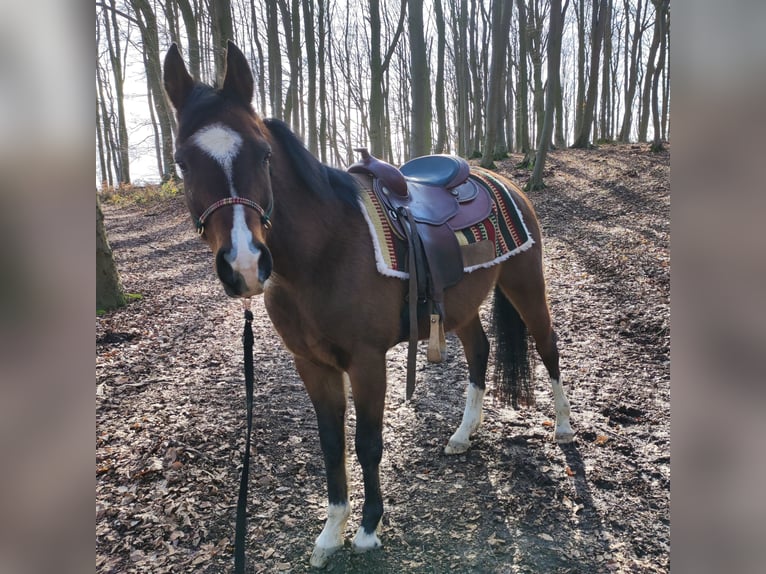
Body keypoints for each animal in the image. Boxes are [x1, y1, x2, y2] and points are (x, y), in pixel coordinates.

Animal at [160, 41, 568, 572]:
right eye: (182, 162)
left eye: (264, 154)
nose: (245, 264)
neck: (323, 251)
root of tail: (501, 179)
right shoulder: (312, 365)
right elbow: (332, 444)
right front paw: (331, 531)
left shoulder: (368, 361)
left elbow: (368, 443)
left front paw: (369, 528)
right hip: (460, 306)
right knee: (479, 351)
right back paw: (463, 434)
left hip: (526, 284)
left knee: (548, 345)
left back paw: (563, 428)